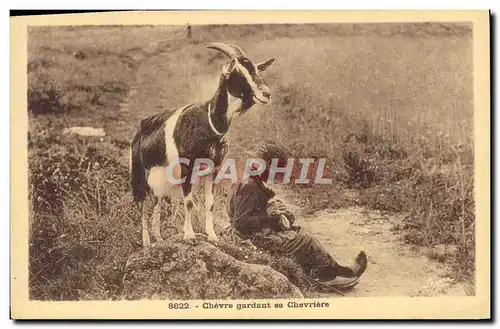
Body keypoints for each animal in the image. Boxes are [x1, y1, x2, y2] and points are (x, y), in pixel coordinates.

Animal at [129, 42, 276, 245]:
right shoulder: (187, 168)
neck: (208, 122)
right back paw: (146, 242)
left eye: (255, 69)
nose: (266, 94)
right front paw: (189, 235)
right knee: (143, 204)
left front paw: (212, 235)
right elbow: (189, 201)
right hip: (141, 173)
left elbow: (210, 202)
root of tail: (140, 130)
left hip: (162, 177)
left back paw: (158, 237)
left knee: (157, 201)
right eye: (237, 72)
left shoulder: (214, 169)